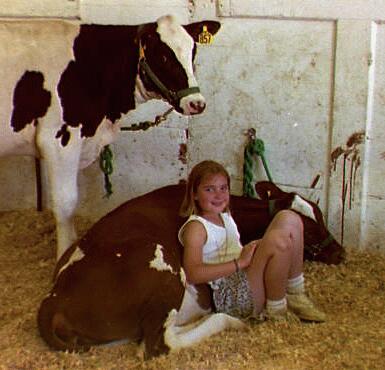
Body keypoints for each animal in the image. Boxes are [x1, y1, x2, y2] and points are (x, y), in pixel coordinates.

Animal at [0, 13, 220, 258]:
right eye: (163, 57)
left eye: (193, 52)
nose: (196, 103)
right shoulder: (59, 140)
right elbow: (66, 203)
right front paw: (65, 256)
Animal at [36, 182, 342, 358]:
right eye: (309, 231)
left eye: (320, 212)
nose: (342, 253)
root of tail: (53, 298)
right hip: (165, 271)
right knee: (158, 345)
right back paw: (228, 320)